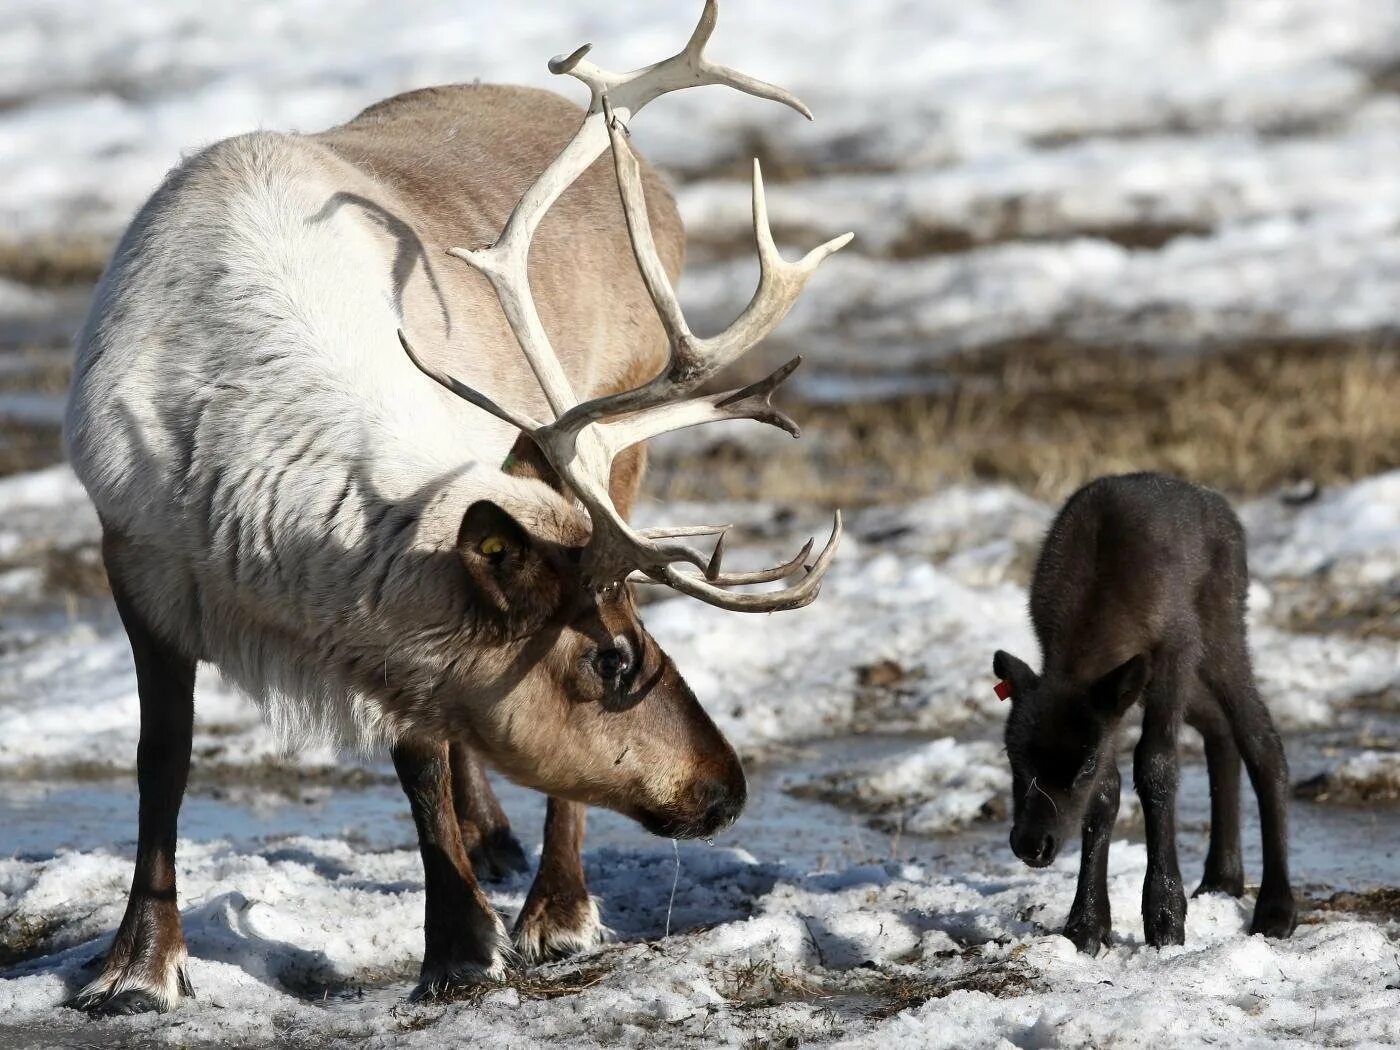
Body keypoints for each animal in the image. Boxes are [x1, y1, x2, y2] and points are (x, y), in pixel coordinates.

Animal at [991, 476, 1293, 952]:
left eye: (1082, 766)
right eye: (1012, 758)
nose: (1031, 845)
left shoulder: (1175, 651)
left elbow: (1156, 766)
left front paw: (1165, 918)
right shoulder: (1110, 706)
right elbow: (1106, 793)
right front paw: (1087, 925)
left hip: (1221, 629)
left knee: (1261, 742)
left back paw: (1276, 909)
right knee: (1219, 729)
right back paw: (1222, 878)